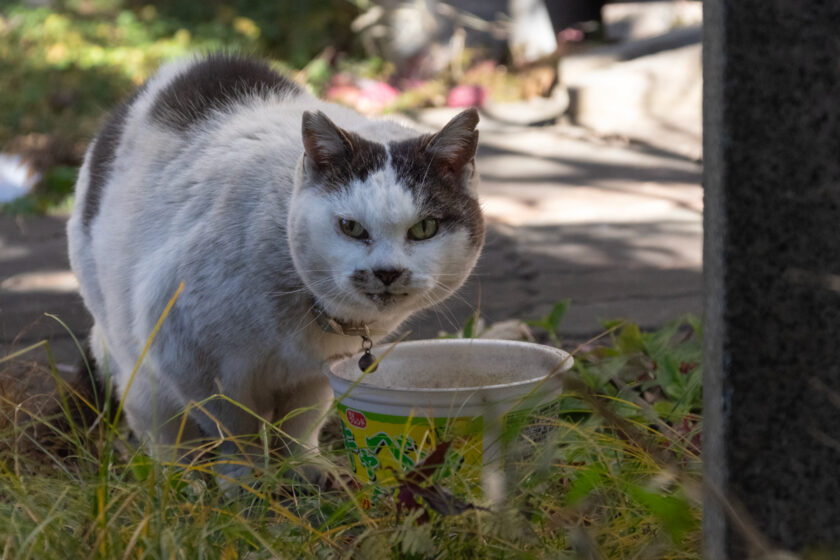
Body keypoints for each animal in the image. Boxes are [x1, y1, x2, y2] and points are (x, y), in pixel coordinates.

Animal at [65, 53, 486, 482]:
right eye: (350, 227)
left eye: (424, 228)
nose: (387, 271)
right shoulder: (188, 356)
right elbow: (234, 430)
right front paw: (246, 482)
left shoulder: (317, 374)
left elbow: (301, 421)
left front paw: (306, 467)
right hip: (136, 366)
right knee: (165, 435)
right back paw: (184, 483)